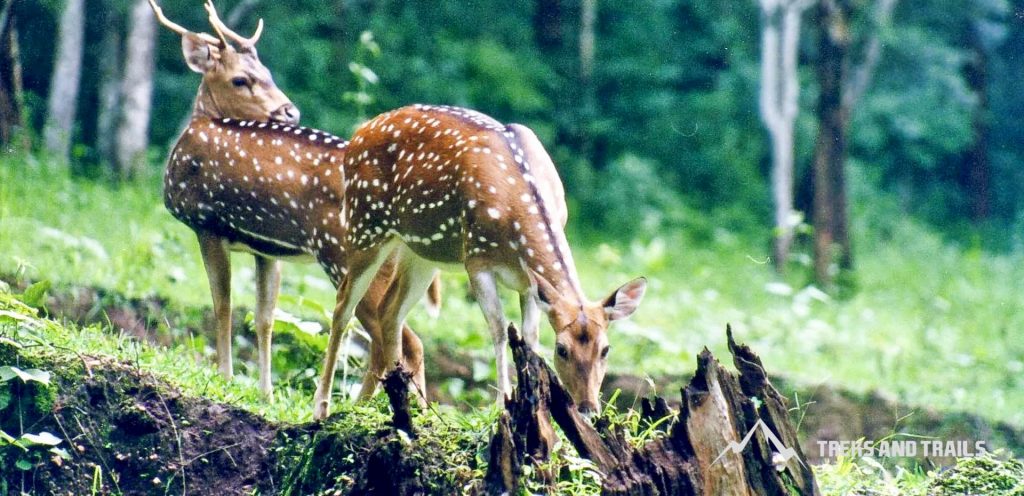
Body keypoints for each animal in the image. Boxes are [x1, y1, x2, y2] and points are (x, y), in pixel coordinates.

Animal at [149, 0, 434, 403]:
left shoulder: (206, 224)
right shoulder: (267, 249)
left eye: (266, 74)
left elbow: (223, 305)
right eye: (242, 79)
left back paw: (366, 407)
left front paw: (224, 376)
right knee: (400, 338)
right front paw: (265, 392)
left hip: (345, 257)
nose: (290, 112)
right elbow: (265, 316)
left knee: (397, 339)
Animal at [313, 104, 647, 418]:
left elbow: (529, 337)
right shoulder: (477, 260)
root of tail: (357, 134)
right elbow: (499, 330)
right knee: (343, 306)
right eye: (562, 349)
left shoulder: (528, 282)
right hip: (364, 226)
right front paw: (502, 404)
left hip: (418, 252)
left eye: (605, 349)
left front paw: (536, 406)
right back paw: (323, 407)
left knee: (389, 311)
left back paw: (413, 406)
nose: (589, 408)